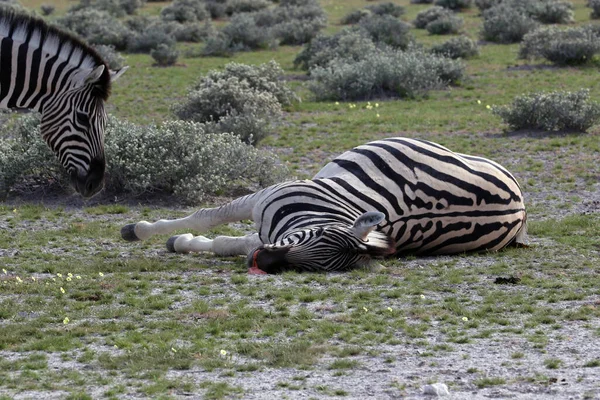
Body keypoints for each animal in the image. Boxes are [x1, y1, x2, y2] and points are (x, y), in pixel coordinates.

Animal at [118, 138, 524, 276]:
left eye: (312, 268)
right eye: (313, 235)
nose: (265, 264)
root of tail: (520, 212)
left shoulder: (265, 221)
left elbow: (223, 237)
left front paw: (173, 240)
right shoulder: (262, 200)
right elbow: (208, 217)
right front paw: (140, 231)